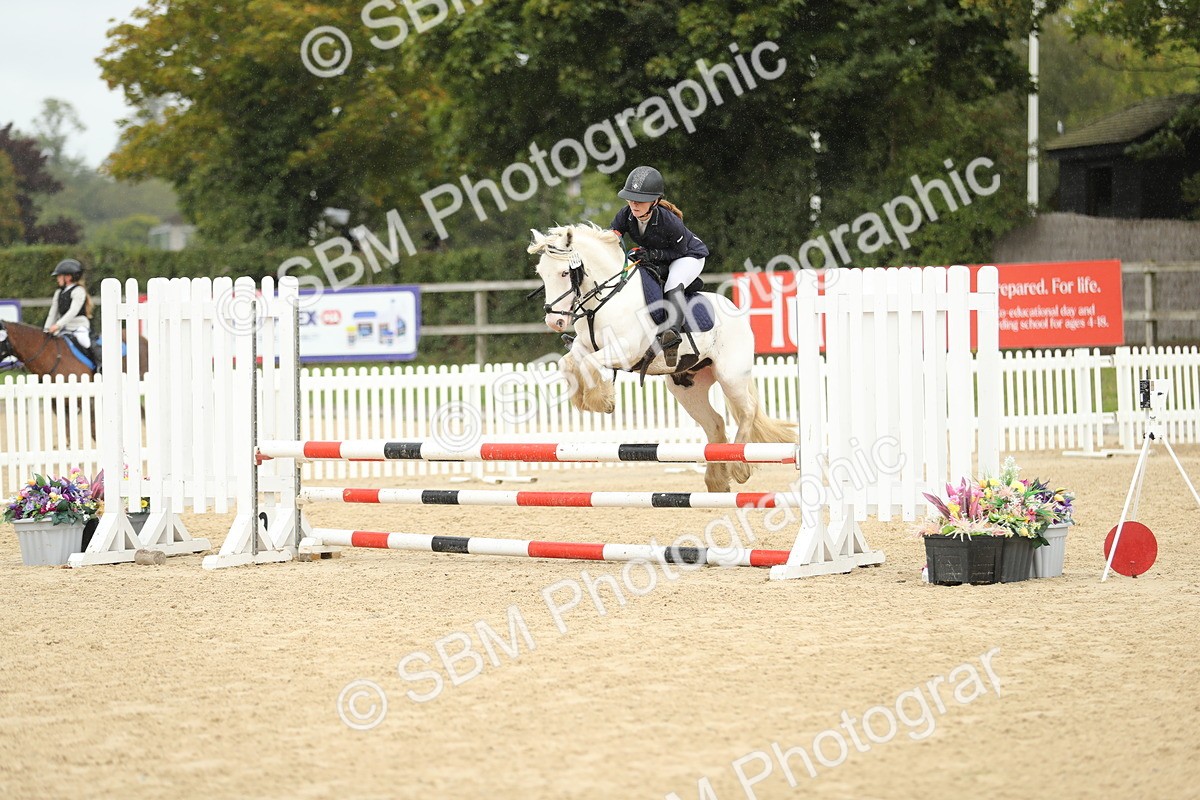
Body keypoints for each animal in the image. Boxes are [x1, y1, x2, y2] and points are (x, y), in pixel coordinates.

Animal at [528, 224, 797, 493]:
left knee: (747, 411)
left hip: (730, 377)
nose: (555, 321)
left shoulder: (626, 350)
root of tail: (737, 312)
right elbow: (568, 363)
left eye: (565, 273)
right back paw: (717, 481)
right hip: (687, 387)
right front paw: (588, 399)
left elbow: (587, 362)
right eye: (541, 273)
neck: (605, 300)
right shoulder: (585, 345)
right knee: (716, 423)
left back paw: (739, 468)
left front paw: (601, 401)